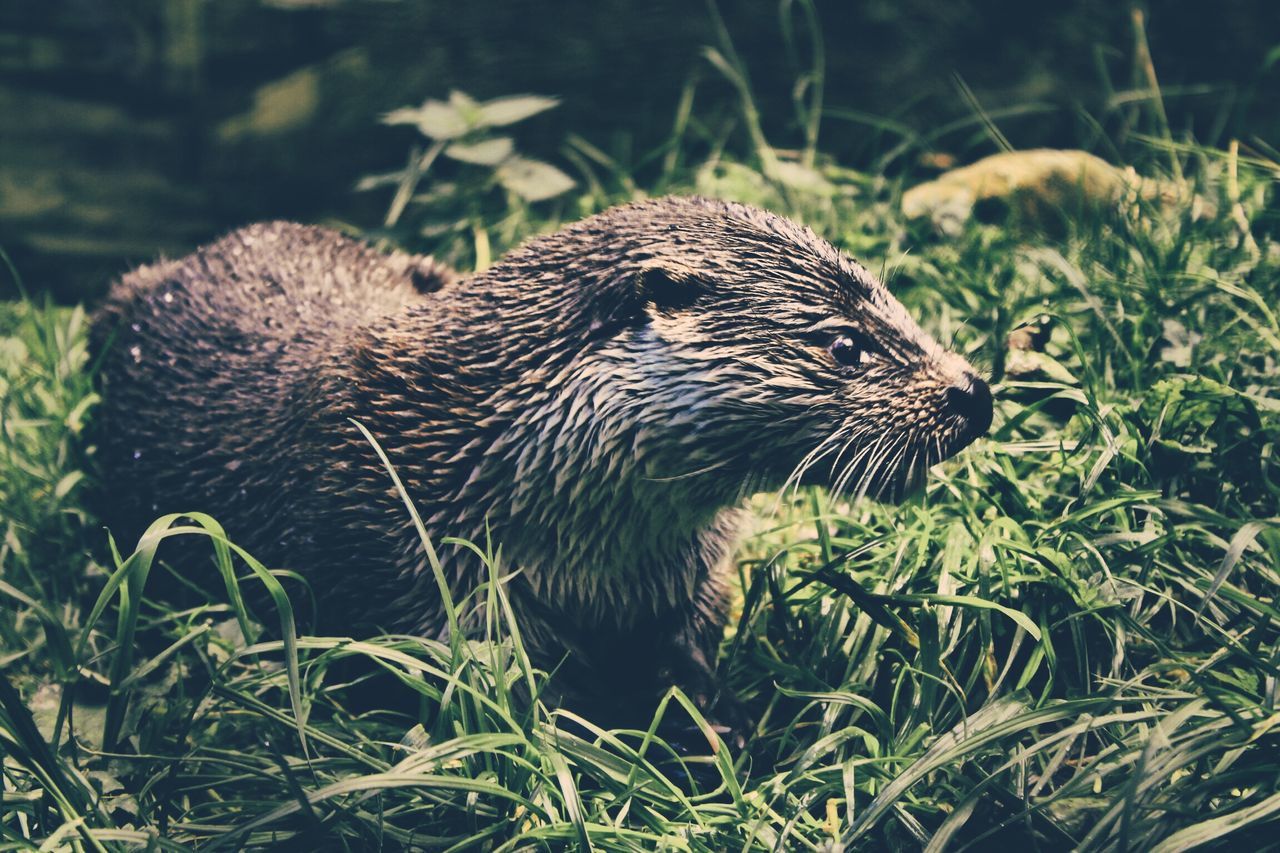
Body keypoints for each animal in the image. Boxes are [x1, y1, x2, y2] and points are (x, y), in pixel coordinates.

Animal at [92, 197, 988, 717]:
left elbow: (689, 654)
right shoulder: (413, 576)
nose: (974, 391)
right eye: (844, 344)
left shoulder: (689, 576)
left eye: (897, 304)